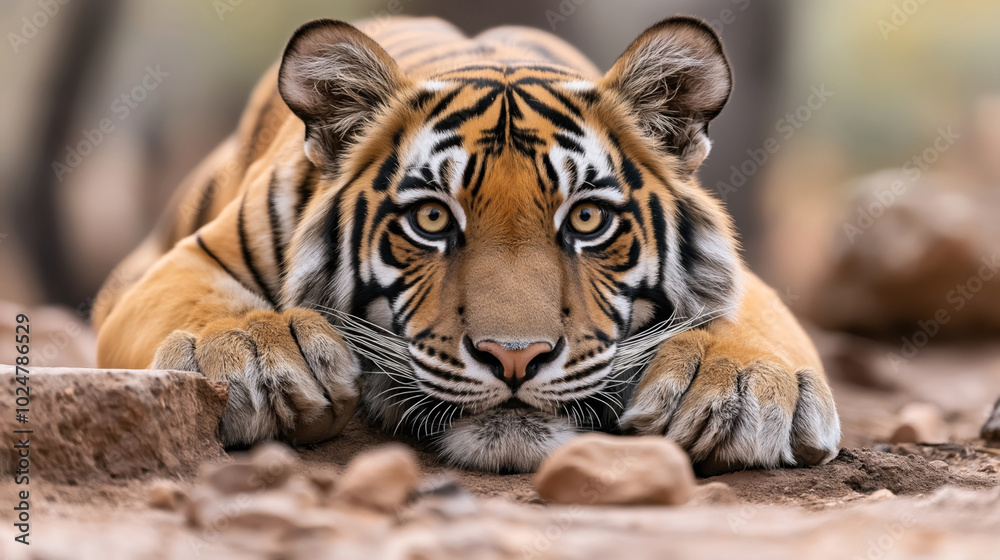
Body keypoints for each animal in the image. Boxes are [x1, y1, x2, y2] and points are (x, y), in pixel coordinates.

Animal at [93, 15, 841, 475]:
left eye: (587, 221)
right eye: (430, 219)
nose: (515, 358)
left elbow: (755, 323)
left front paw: (741, 386)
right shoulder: (186, 261)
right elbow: (208, 309)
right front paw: (255, 354)